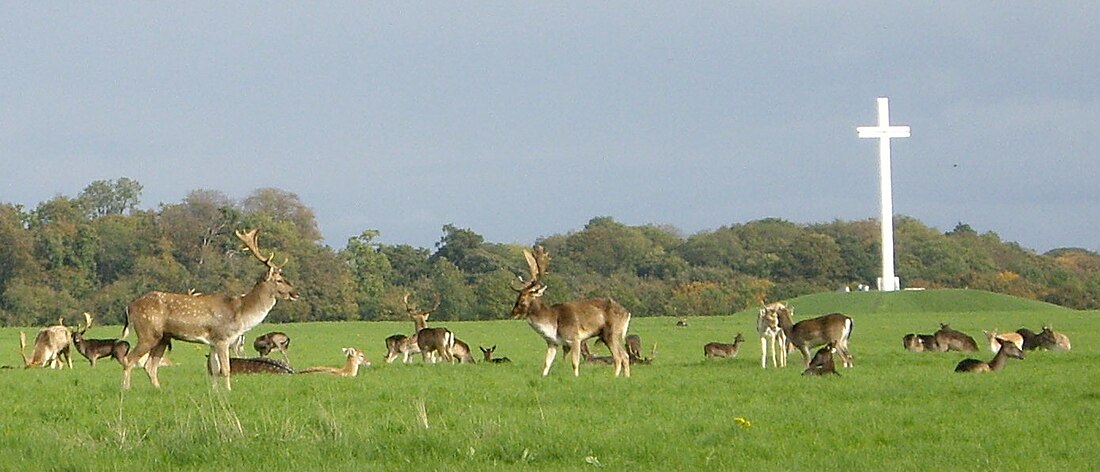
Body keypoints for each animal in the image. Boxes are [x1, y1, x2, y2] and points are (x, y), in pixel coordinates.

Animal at [510, 244, 633, 376]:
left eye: (522, 299)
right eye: (517, 297)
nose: (512, 313)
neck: (551, 323)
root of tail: (627, 313)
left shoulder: (575, 338)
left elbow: (575, 363)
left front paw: (576, 377)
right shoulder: (552, 342)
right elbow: (547, 363)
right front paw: (543, 376)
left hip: (611, 333)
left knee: (618, 357)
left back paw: (615, 377)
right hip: (611, 336)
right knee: (625, 356)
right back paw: (626, 377)